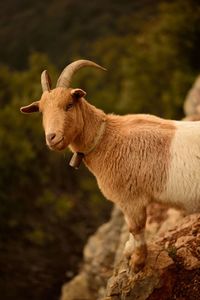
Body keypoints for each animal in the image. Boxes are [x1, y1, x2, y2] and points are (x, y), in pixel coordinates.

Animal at [20, 59, 200, 274]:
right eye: (41, 111)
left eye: (69, 105)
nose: (52, 138)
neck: (107, 138)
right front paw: (129, 251)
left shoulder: (131, 198)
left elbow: (135, 228)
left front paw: (137, 263)